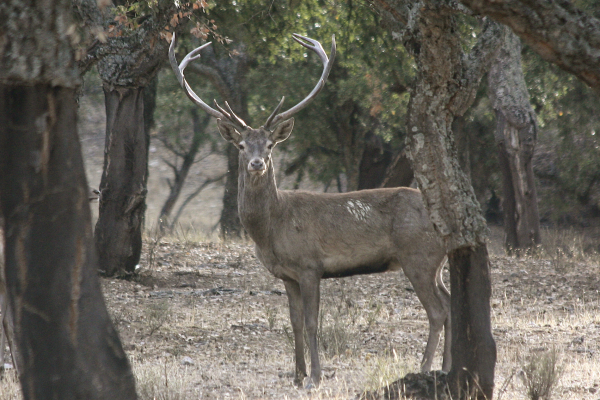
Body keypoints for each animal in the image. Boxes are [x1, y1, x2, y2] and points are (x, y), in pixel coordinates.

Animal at [169, 32, 450, 390]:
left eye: (270, 145)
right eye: (242, 145)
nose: (257, 163)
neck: (271, 229)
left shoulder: (309, 264)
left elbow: (313, 322)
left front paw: (315, 377)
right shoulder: (285, 274)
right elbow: (294, 322)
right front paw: (296, 374)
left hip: (418, 256)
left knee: (438, 312)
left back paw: (425, 368)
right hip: (436, 262)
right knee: (451, 304)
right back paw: (447, 367)